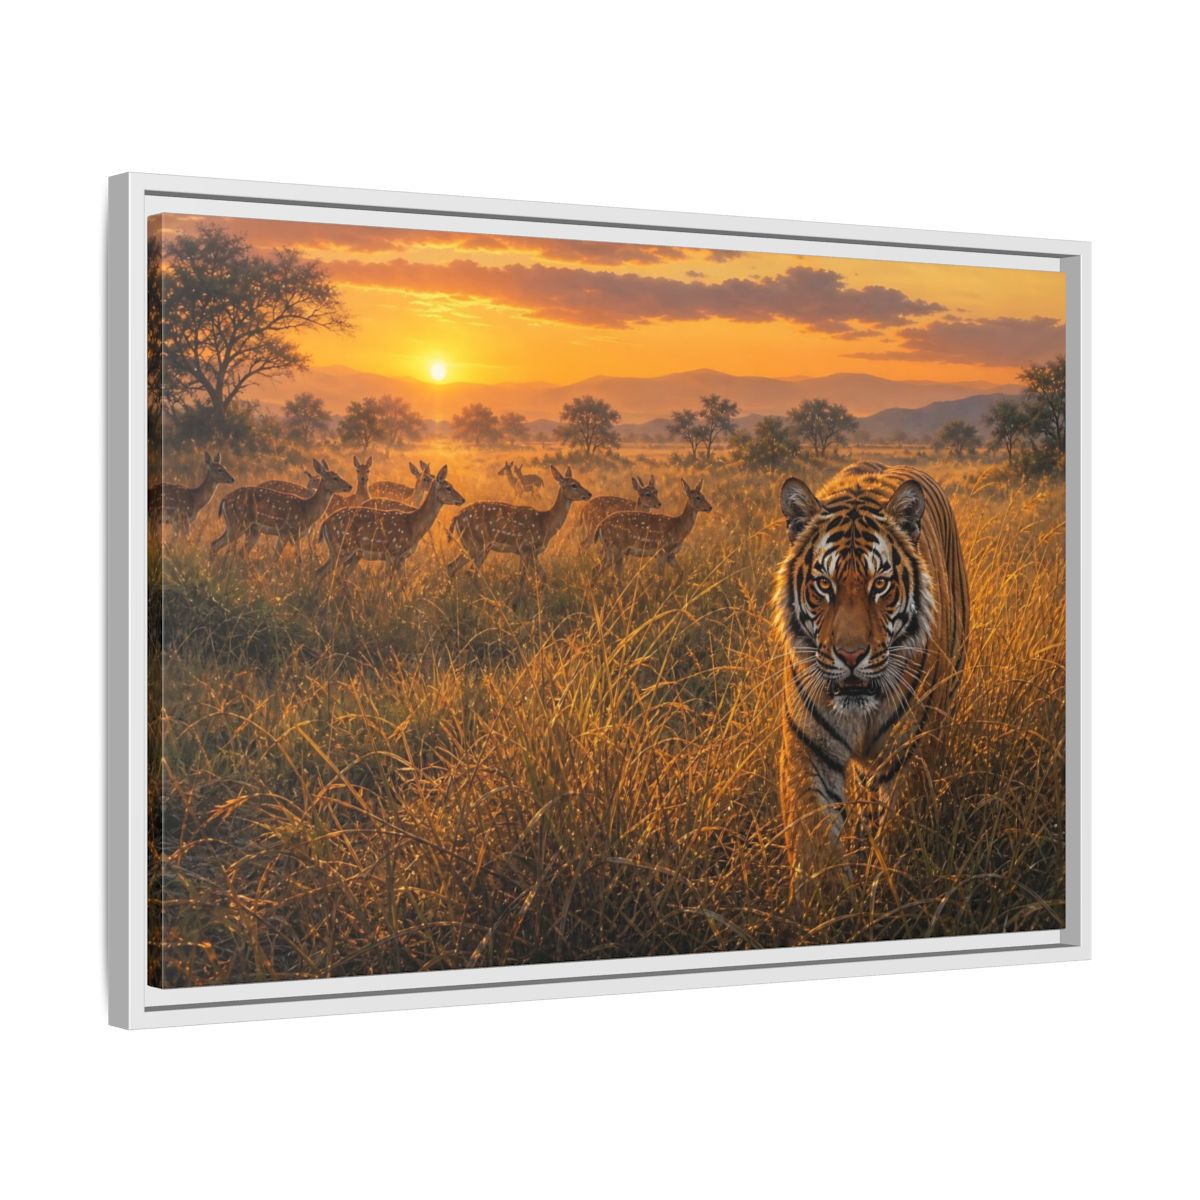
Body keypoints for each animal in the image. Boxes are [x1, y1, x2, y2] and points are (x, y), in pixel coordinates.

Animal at [211, 458, 352, 559]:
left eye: (338, 475)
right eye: (335, 478)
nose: (350, 486)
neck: (306, 511)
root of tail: (224, 500)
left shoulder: (291, 535)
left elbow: (283, 558)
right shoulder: (289, 531)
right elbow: (292, 559)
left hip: (250, 529)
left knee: (230, 549)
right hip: (238, 523)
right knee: (216, 544)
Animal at [316, 465, 464, 577]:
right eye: (448, 488)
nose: (463, 499)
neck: (413, 524)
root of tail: (325, 523)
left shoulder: (402, 558)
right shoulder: (392, 553)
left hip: (348, 553)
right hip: (343, 548)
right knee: (321, 572)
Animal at [448, 464, 590, 583]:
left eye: (579, 482)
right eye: (574, 485)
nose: (589, 494)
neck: (546, 523)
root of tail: (457, 517)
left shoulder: (533, 553)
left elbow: (543, 576)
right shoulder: (525, 547)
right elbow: (521, 579)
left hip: (471, 544)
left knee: (452, 566)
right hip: (478, 543)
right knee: (468, 571)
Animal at [773, 462, 969, 885]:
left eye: (880, 584)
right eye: (823, 584)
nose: (850, 654)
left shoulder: (910, 752)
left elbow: (900, 839)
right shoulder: (807, 748)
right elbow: (815, 845)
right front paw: (827, 899)